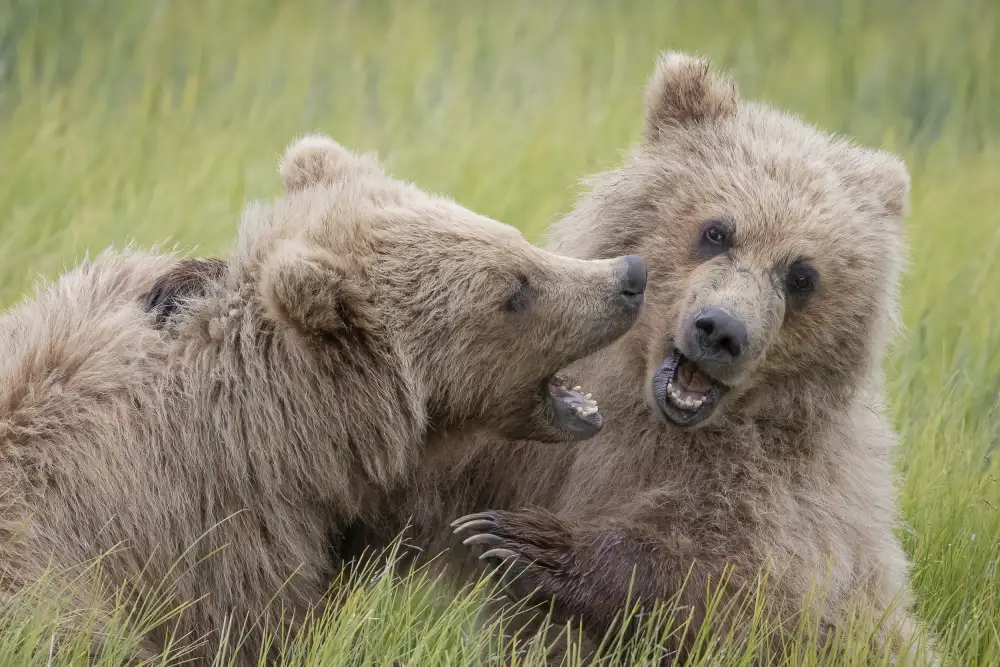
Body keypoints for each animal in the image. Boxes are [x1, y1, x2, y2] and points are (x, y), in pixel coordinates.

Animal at [331, 52, 937, 665]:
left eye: (802, 275)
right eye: (717, 230)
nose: (721, 330)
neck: (646, 406)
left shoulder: (789, 489)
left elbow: (754, 586)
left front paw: (532, 543)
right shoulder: (521, 449)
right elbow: (418, 495)